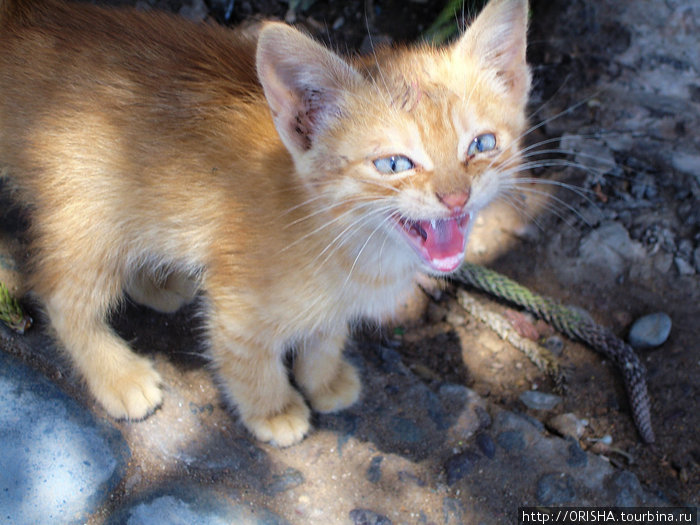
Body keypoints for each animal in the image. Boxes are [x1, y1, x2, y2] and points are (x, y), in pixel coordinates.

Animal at [0, 0, 524, 444]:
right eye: (394, 164)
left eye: (481, 144)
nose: (456, 196)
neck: (350, 242)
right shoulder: (236, 302)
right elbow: (248, 358)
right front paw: (272, 410)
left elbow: (325, 335)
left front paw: (323, 378)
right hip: (91, 218)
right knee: (59, 295)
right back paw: (117, 374)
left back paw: (157, 281)